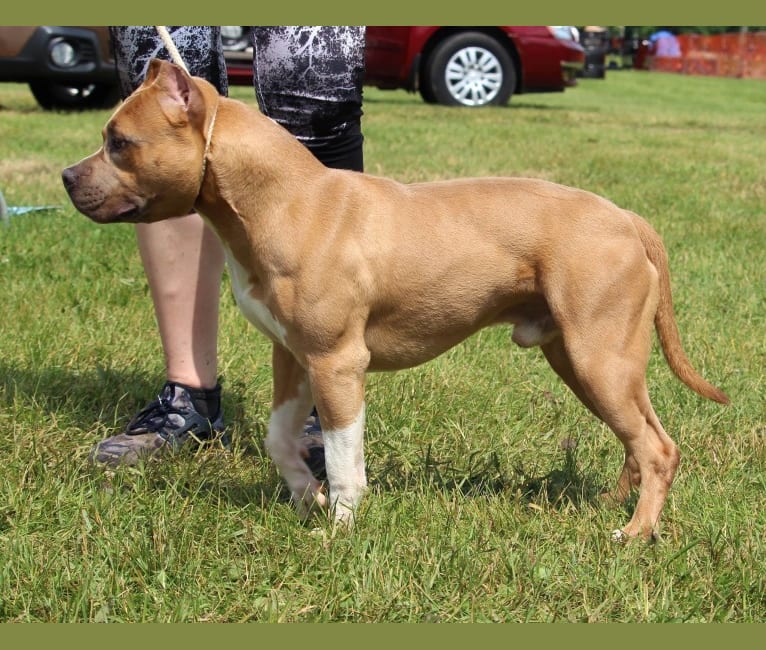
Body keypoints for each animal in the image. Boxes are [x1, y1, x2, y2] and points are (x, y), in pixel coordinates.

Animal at [63, 59, 728, 536]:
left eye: (119, 141)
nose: (68, 177)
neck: (284, 201)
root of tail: (626, 218)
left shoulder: (337, 362)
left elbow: (342, 451)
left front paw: (340, 524)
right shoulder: (294, 357)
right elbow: (281, 438)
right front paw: (307, 495)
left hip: (599, 358)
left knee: (656, 446)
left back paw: (634, 534)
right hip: (584, 360)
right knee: (643, 439)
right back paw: (616, 505)